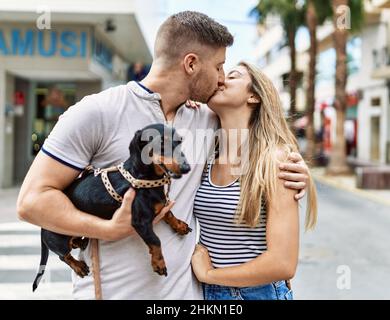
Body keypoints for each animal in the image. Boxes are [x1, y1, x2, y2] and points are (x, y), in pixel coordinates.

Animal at [32, 124, 191, 292]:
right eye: (161, 144)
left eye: (180, 141)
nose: (187, 167)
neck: (144, 178)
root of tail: (41, 228)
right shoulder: (140, 222)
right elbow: (155, 240)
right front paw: (159, 263)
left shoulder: (160, 205)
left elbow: (168, 213)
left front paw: (180, 225)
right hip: (59, 240)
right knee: (64, 255)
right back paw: (78, 266)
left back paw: (80, 242)